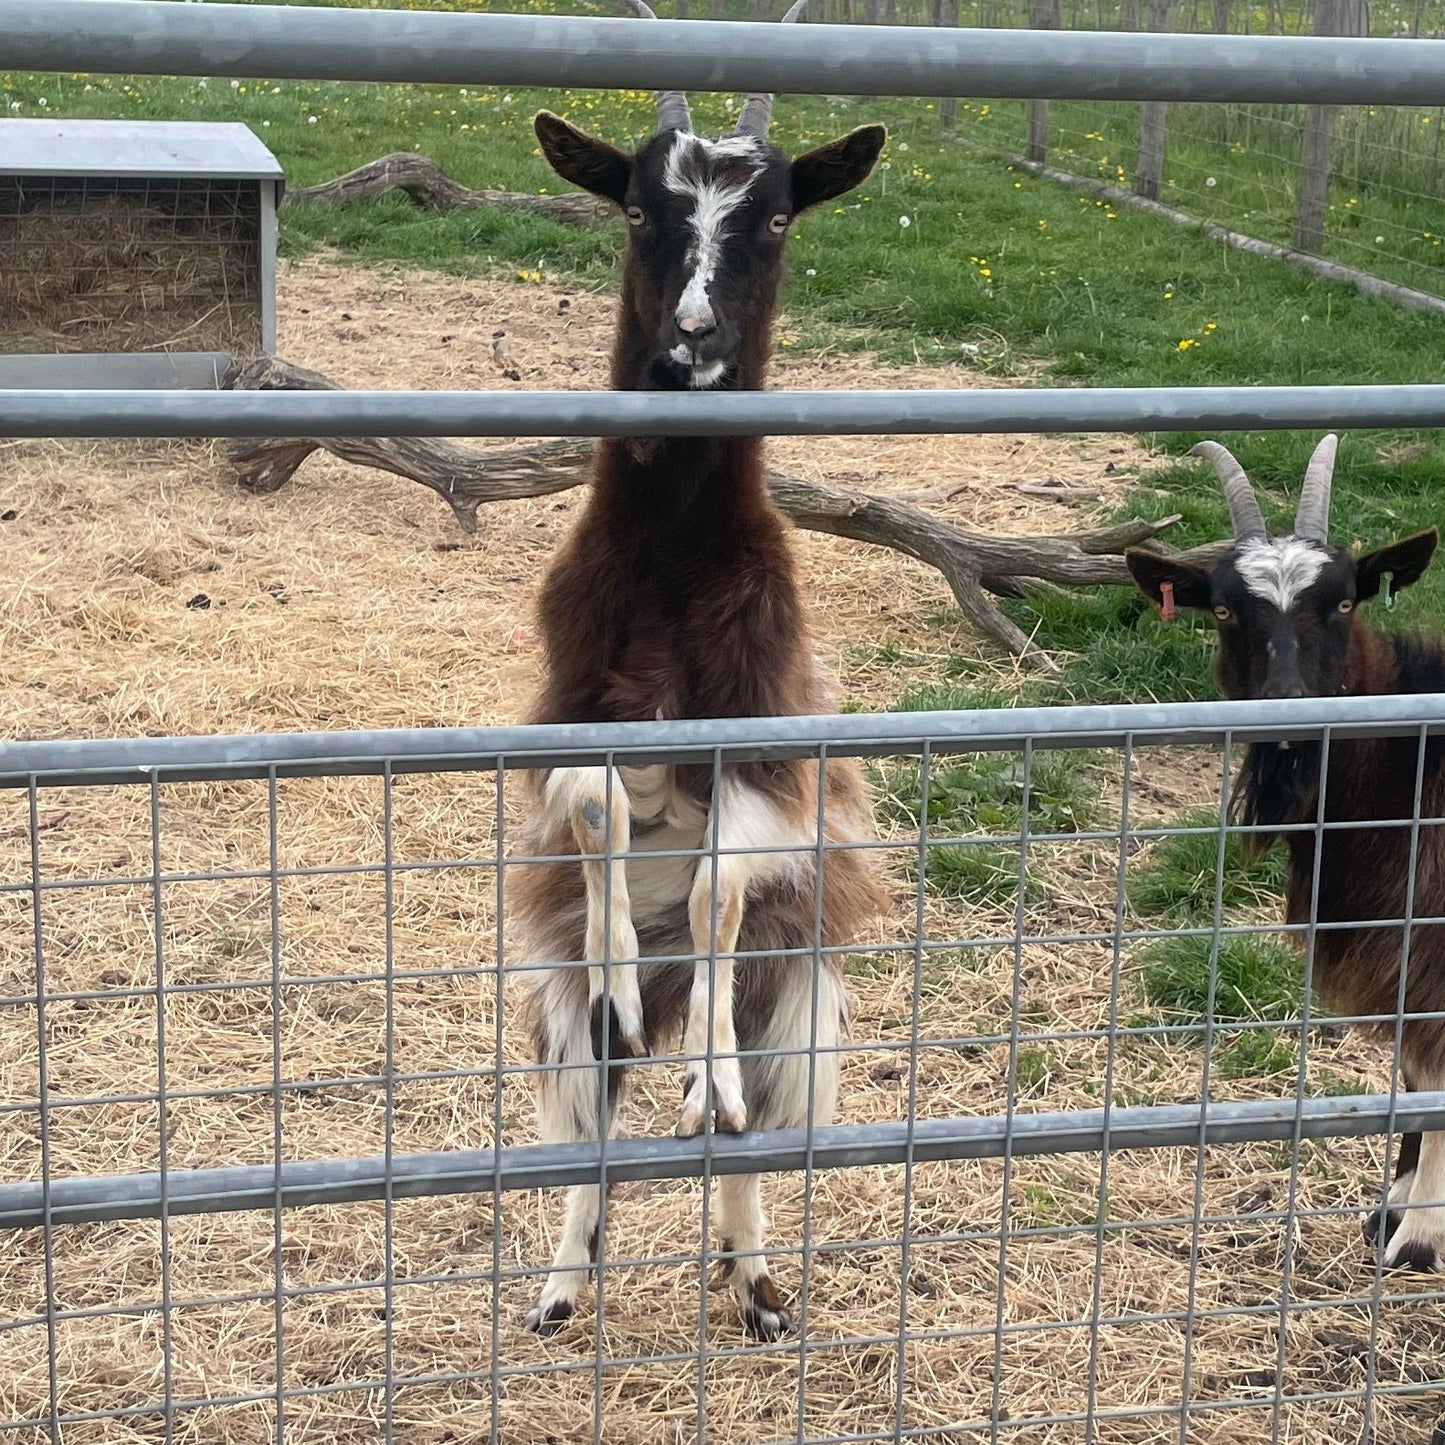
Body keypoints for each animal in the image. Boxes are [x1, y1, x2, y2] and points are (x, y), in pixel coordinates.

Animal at [510, 1, 889, 1339]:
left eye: (774, 217)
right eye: (636, 206)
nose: (693, 339)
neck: (674, 566)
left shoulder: (774, 754)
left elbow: (722, 878)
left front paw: (706, 1084)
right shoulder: (565, 716)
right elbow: (601, 815)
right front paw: (625, 975)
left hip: (801, 1002)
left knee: (756, 1129)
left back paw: (756, 1275)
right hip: (556, 1017)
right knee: (590, 1121)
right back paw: (563, 1283)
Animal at [1126, 434, 1445, 1269]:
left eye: (1342, 601)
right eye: (1224, 608)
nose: (1288, 709)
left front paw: (1418, 1235)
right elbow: (1413, 1070)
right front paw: (1391, 1208)